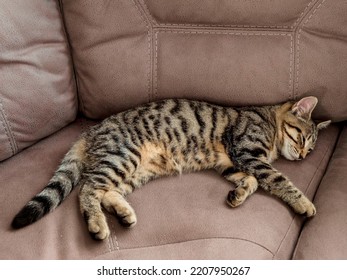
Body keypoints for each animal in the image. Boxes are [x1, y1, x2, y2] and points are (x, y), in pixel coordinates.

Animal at [11, 97, 332, 241]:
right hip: (122, 156)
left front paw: (238, 194)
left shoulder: (229, 163)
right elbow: (278, 179)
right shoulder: (247, 152)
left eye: (311, 149)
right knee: (89, 189)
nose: (303, 156)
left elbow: (252, 181)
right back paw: (98, 224)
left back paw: (123, 213)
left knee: (106, 191)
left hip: (136, 171)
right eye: (303, 139)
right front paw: (304, 203)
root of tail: (89, 132)